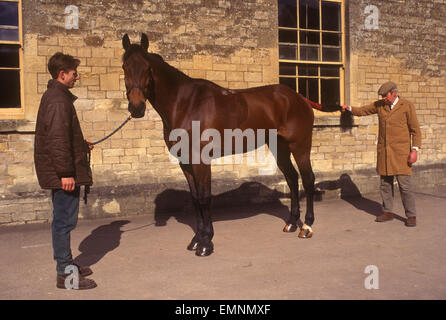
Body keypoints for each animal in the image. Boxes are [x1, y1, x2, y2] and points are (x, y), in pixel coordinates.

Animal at [121, 33, 344, 256]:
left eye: (147, 68)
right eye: (124, 66)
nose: (136, 107)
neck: (186, 104)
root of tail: (300, 98)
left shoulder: (201, 161)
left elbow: (204, 198)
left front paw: (206, 243)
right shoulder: (185, 162)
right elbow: (195, 199)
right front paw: (196, 239)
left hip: (300, 146)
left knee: (308, 179)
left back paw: (307, 226)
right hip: (279, 148)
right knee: (292, 178)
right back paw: (291, 223)